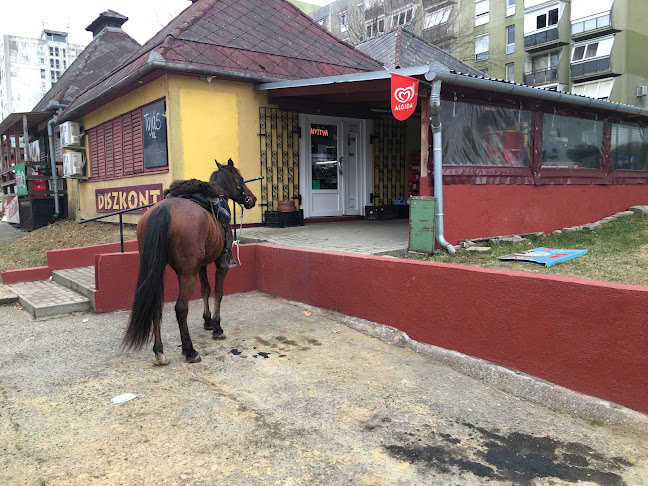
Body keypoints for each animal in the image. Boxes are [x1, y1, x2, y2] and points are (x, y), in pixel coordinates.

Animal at [121, 159, 256, 364]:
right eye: (240, 179)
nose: (252, 199)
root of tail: (163, 209)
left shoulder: (200, 266)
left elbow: (205, 290)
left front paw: (207, 321)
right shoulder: (220, 264)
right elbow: (218, 292)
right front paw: (217, 327)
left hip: (162, 271)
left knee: (156, 307)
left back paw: (159, 351)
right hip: (188, 274)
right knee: (181, 308)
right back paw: (189, 350)